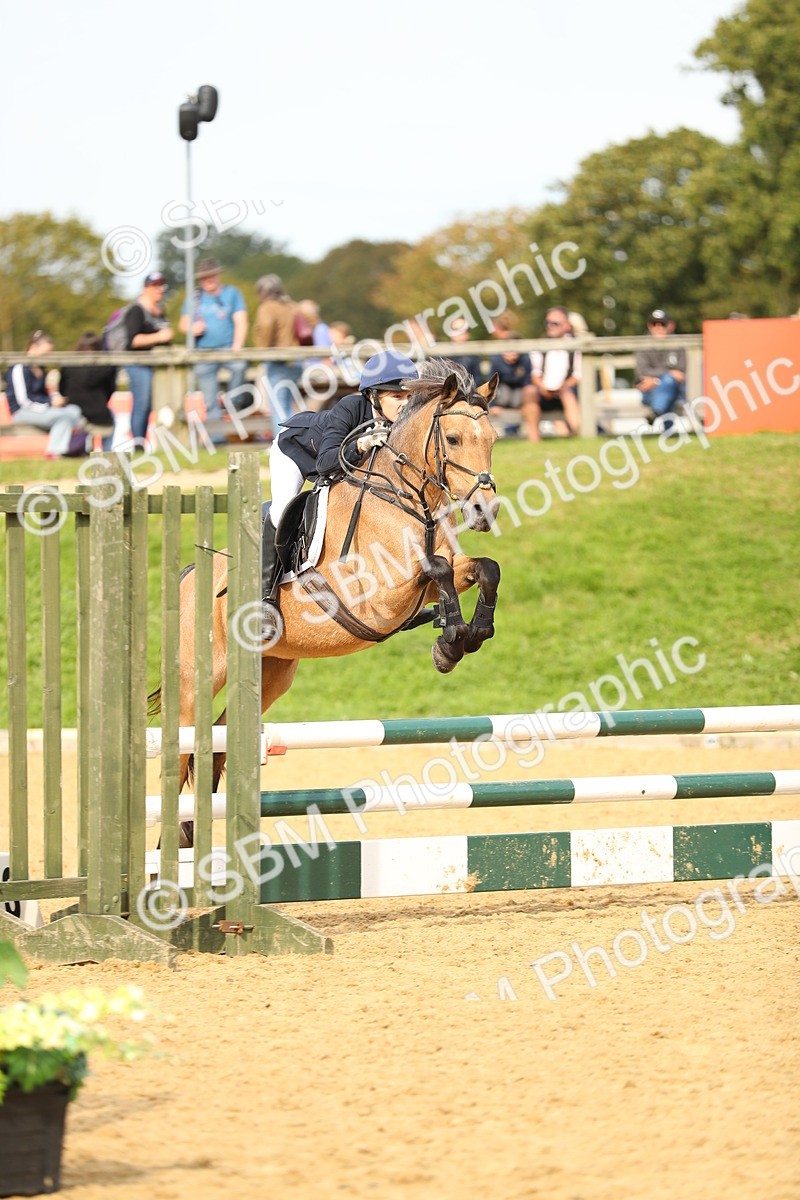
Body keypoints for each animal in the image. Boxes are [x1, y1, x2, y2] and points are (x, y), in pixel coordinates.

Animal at [152, 357, 502, 834]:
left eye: (493, 439)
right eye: (452, 439)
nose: (485, 512)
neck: (405, 498)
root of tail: (190, 577)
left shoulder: (435, 577)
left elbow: (483, 569)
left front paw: (467, 635)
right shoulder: (375, 596)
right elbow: (439, 569)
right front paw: (450, 638)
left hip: (271, 675)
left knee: (219, 746)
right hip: (198, 680)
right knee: (181, 753)